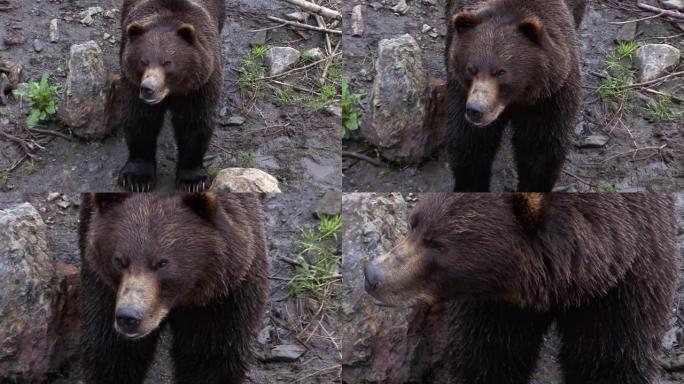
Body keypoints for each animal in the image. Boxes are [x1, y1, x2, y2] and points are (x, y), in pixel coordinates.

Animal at [77, 194, 264, 382]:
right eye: (119, 260)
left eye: (162, 263)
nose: (129, 317)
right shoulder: (106, 290)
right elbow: (111, 352)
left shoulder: (222, 298)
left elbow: (212, 356)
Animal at [117, 0, 224, 192]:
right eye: (143, 61)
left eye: (167, 63)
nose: (148, 88)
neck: (173, 92)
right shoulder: (132, 84)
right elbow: (141, 121)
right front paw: (136, 178)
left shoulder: (199, 88)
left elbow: (193, 124)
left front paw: (193, 179)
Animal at [366, 194, 676, 384]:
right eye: (413, 223)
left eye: (438, 245)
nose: (373, 276)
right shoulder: (499, 305)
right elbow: (488, 357)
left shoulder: (622, 288)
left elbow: (608, 360)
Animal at [446, 0, 584, 192]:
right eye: (471, 68)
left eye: (501, 72)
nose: (476, 110)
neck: (516, 100)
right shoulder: (461, 92)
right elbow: (471, 143)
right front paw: (471, 185)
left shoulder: (548, 99)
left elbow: (540, 149)